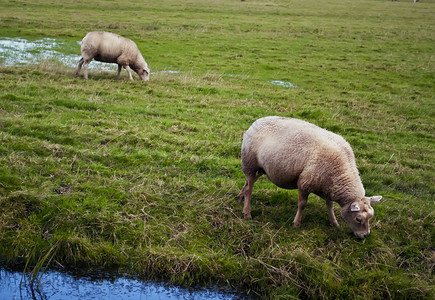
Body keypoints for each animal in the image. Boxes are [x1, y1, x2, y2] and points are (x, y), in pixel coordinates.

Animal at [237, 116, 384, 238]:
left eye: (370, 217)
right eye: (358, 219)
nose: (365, 236)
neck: (341, 172)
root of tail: (258, 121)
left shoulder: (327, 187)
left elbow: (330, 205)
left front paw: (334, 223)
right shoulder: (305, 183)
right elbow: (302, 205)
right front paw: (296, 223)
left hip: (261, 168)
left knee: (249, 182)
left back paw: (240, 196)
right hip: (250, 163)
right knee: (250, 187)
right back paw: (247, 212)